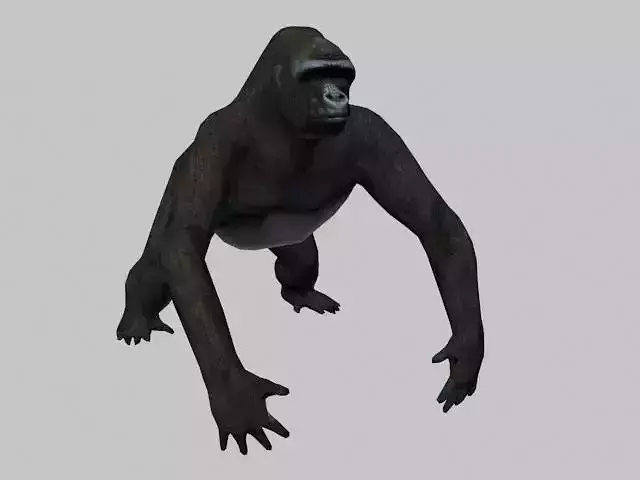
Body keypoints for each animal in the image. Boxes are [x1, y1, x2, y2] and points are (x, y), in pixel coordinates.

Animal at [116, 26, 485, 455]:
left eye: (342, 75)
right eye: (314, 75)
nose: (337, 96)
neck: (279, 121)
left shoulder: (375, 133)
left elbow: (436, 224)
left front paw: (467, 352)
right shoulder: (213, 139)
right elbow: (184, 255)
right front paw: (234, 397)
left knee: (300, 259)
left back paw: (300, 292)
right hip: (178, 174)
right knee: (157, 265)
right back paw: (136, 315)